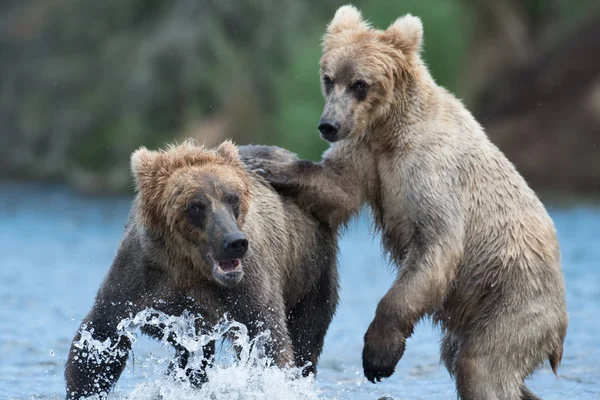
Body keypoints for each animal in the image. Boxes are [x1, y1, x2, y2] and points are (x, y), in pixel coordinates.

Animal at [64, 140, 342, 396]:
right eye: (196, 205)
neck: (190, 266)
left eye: (233, 198)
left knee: (307, 333)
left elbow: (267, 341)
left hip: (311, 269)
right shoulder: (141, 277)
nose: (234, 242)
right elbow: (101, 336)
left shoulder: (247, 287)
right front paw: (83, 387)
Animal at [247, 6, 568, 400]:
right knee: (462, 358)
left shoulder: (430, 171)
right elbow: (337, 187)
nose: (329, 125)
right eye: (328, 78)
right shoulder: (367, 151)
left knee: (483, 365)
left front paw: (378, 356)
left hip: (513, 300)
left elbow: (435, 246)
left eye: (360, 84)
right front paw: (265, 164)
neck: (390, 128)